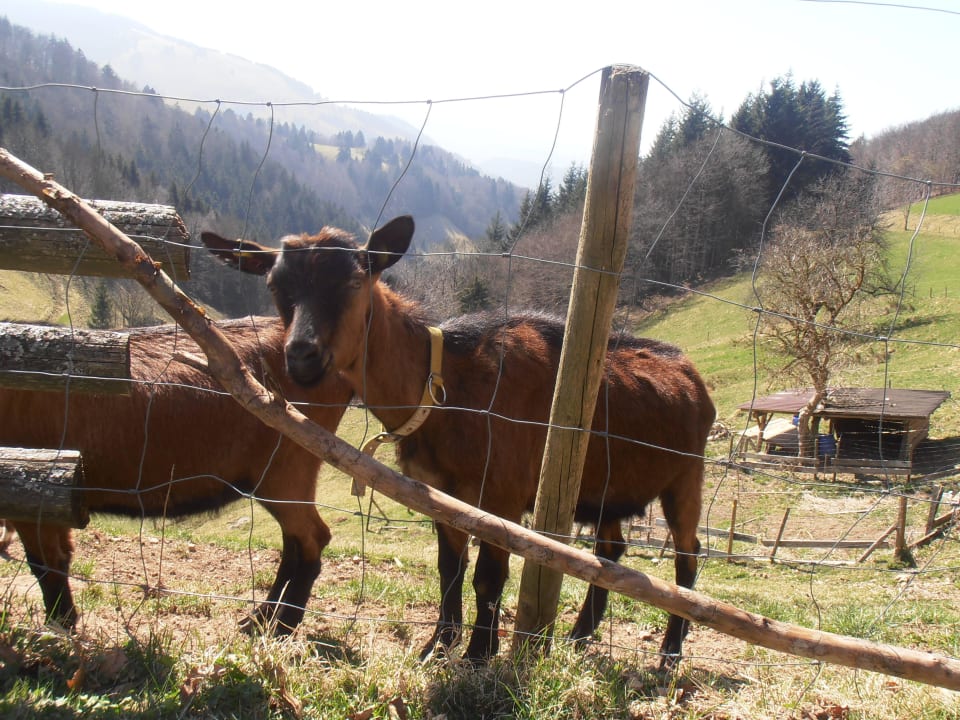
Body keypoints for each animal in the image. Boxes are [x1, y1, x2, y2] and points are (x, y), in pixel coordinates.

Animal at [0, 317, 352, 634]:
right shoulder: (58, 497)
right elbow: (62, 557)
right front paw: (63, 622)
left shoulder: (35, 492)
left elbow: (46, 563)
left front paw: (59, 626)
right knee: (294, 542)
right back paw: (260, 619)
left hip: (289, 463)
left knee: (312, 538)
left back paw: (280, 625)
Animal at [201, 216, 715, 669]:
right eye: (276, 287)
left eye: (354, 281)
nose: (302, 356)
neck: (448, 384)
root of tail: (691, 373)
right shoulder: (439, 491)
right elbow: (450, 568)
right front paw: (438, 645)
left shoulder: (503, 493)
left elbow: (488, 575)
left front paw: (478, 655)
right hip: (608, 488)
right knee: (610, 552)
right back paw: (579, 636)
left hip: (688, 475)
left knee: (687, 557)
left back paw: (670, 653)